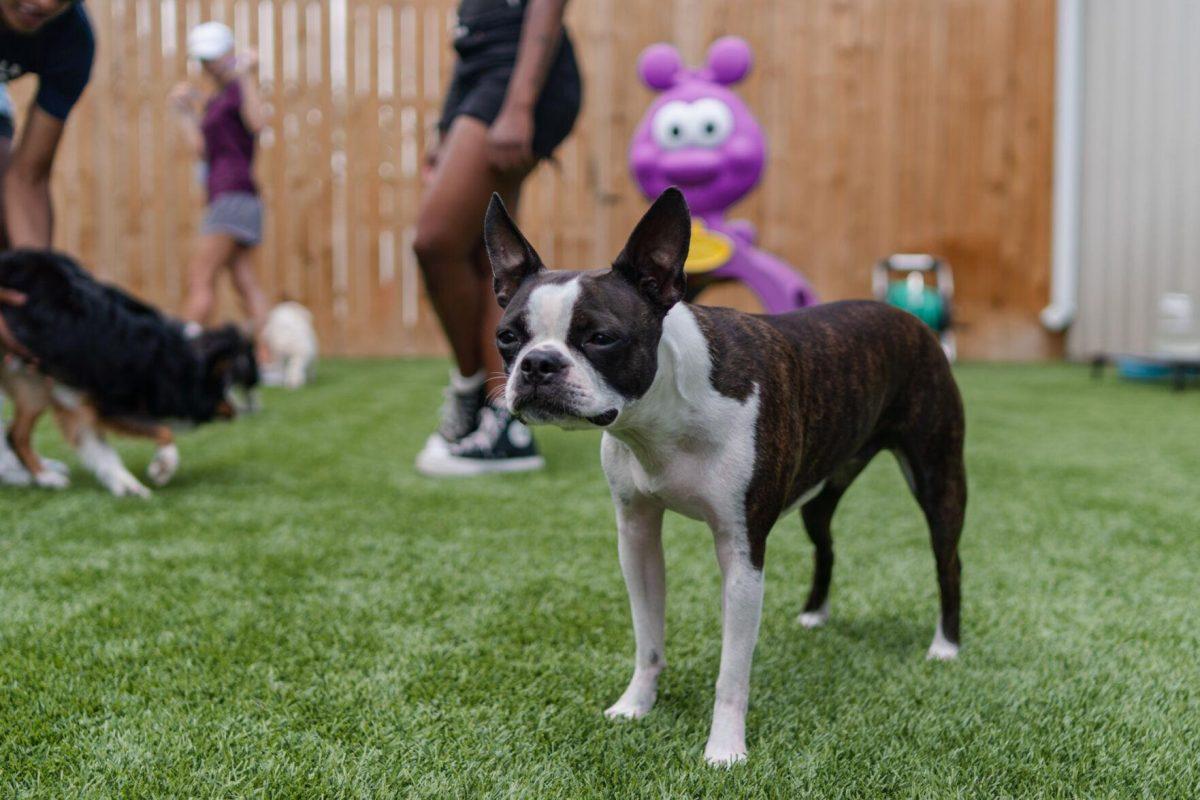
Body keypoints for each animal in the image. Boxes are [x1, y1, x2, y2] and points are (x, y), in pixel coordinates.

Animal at [0, 250, 258, 494]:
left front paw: (126, 485)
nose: (242, 411)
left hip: (32, 383)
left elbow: (101, 449)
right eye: (225, 387)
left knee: (16, 435)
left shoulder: (73, 396)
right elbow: (163, 431)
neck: (174, 362)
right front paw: (162, 467)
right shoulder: (110, 405)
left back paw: (46, 478)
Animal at [482, 189, 969, 767]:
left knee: (948, 560)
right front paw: (636, 705)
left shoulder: (741, 550)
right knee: (826, 542)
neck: (662, 418)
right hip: (823, 489)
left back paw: (946, 646)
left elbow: (732, 671)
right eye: (507, 337)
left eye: (601, 338)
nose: (537, 364)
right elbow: (648, 638)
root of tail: (909, 318)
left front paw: (725, 750)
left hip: (938, 476)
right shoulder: (637, 537)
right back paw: (815, 614)